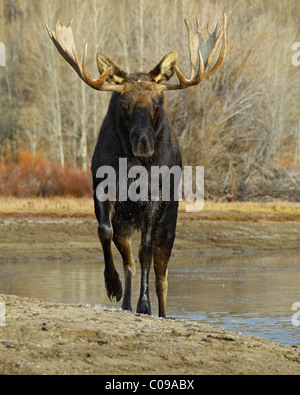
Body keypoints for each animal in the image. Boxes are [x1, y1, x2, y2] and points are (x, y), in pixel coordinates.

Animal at [45, 14, 226, 318]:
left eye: (157, 101)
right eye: (125, 102)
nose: (143, 143)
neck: (132, 172)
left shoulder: (154, 200)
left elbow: (145, 252)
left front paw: (145, 304)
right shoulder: (105, 195)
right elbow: (106, 234)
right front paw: (114, 287)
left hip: (170, 220)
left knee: (162, 275)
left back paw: (161, 311)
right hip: (127, 222)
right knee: (129, 260)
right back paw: (126, 302)